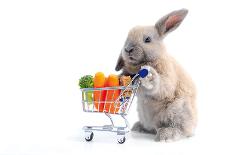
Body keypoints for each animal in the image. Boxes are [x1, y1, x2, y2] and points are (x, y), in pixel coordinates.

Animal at [115, 8, 197, 142]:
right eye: (127, 38)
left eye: (147, 39)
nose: (128, 49)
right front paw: (119, 77)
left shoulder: (167, 77)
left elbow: (162, 86)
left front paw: (149, 77)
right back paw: (139, 127)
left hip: (177, 110)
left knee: (181, 130)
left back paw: (166, 134)